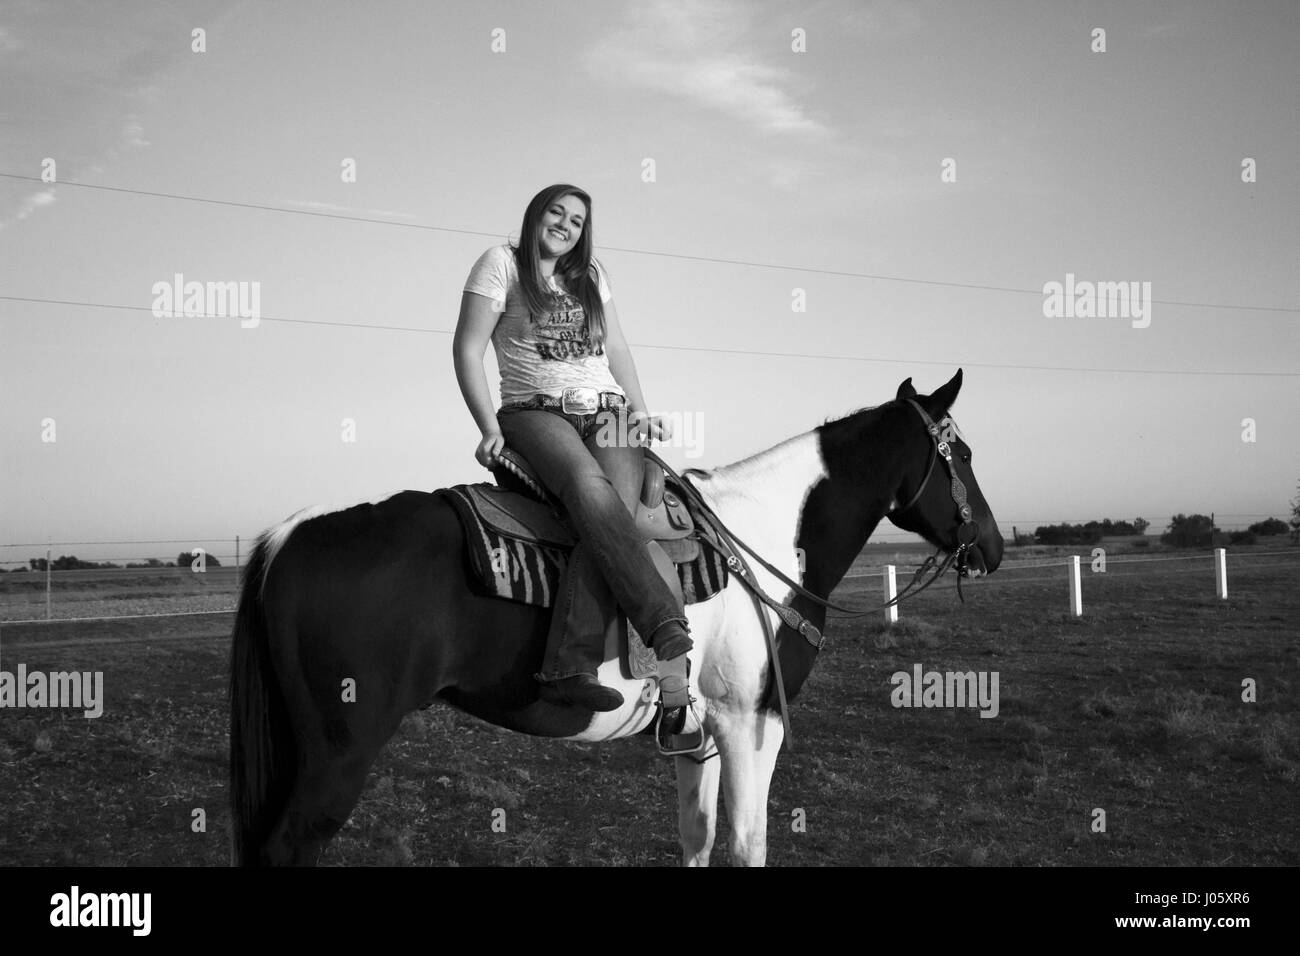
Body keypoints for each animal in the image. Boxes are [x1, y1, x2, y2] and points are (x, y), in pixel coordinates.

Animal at [228, 369, 1003, 868]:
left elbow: (697, 837)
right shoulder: (751, 723)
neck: (769, 531)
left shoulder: (702, 734)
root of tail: (290, 535)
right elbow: (747, 845)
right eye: (962, 454)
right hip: (337, 756)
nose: (992, 548)